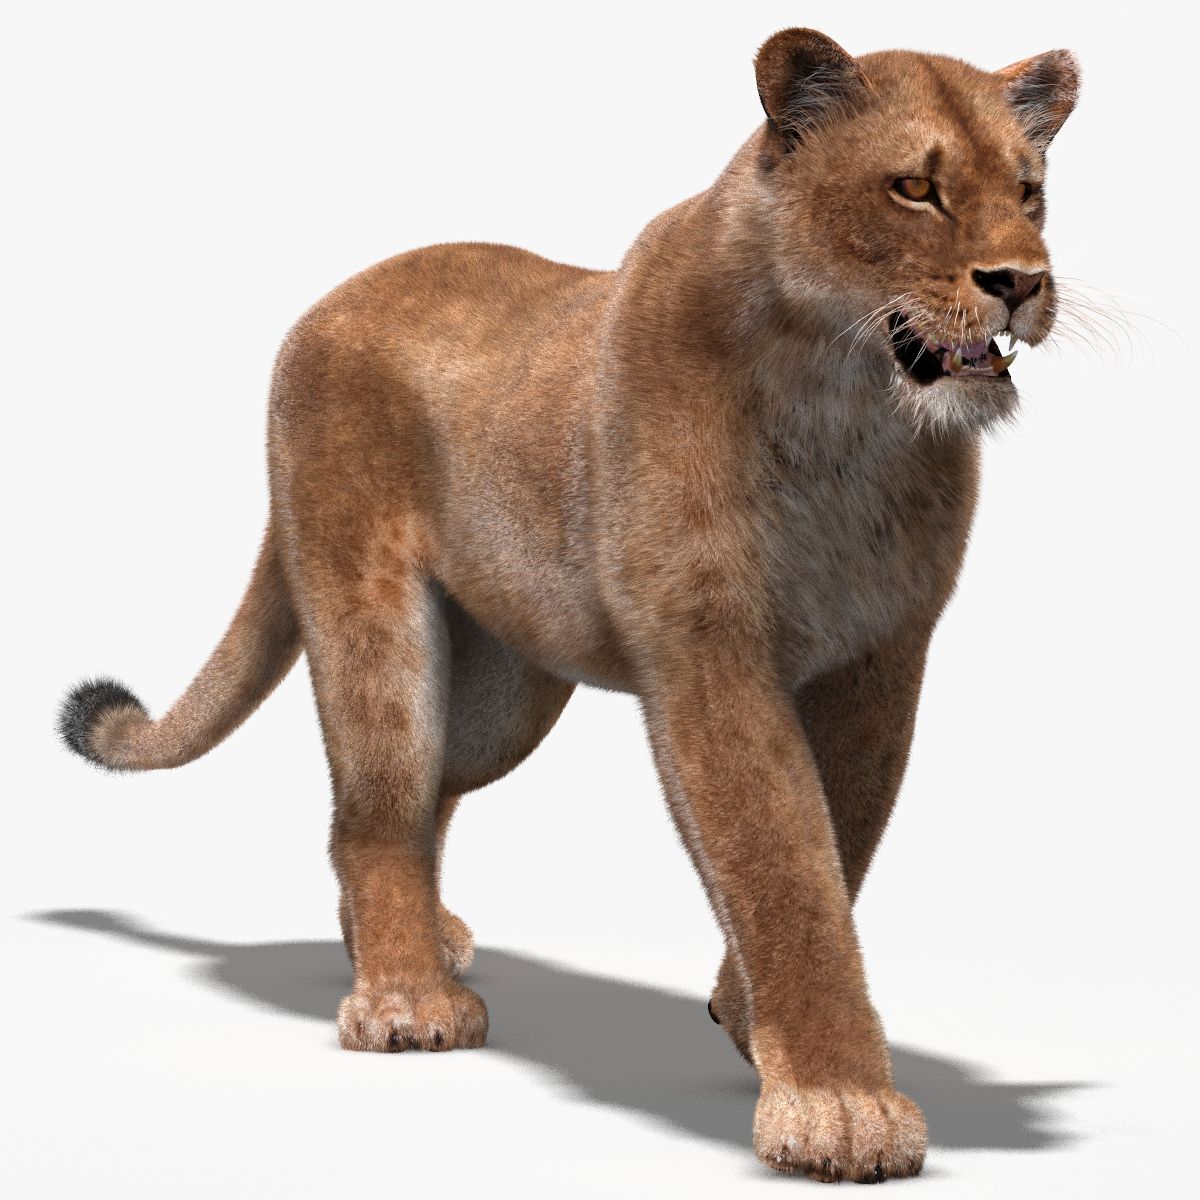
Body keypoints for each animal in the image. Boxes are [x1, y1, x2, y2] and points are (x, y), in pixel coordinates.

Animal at [58, 28, 1080, 1182]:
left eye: (1030, 192)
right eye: (915, 188)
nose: (1021, 282)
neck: (849, 415)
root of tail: (327, 301)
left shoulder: (883, 658)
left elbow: (842, 842)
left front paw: (747, 1020)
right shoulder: (710, 653)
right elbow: (784, 865)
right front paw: (840, 1103)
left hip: (504, 694)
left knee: (414, 801)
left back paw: (411, 945)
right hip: (374, 624)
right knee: (375, 807)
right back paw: (405, 998)